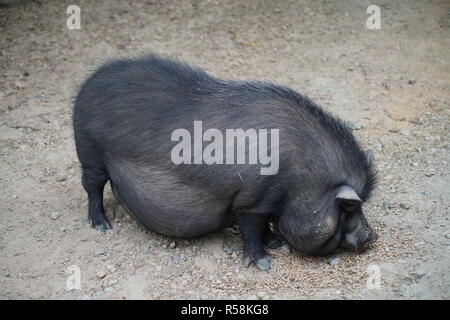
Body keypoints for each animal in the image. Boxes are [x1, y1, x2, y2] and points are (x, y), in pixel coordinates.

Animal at [73, 55, 376, 270]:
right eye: (348, 207)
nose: (371, 237)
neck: (299, 180)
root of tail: (88, 84)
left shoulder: (266, 204)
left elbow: (266, 225)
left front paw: (277, 243)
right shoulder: (251, 201)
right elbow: (252, 229)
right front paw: (264, 263)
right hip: (89, 151)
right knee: (92, 187)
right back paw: (102, 225)